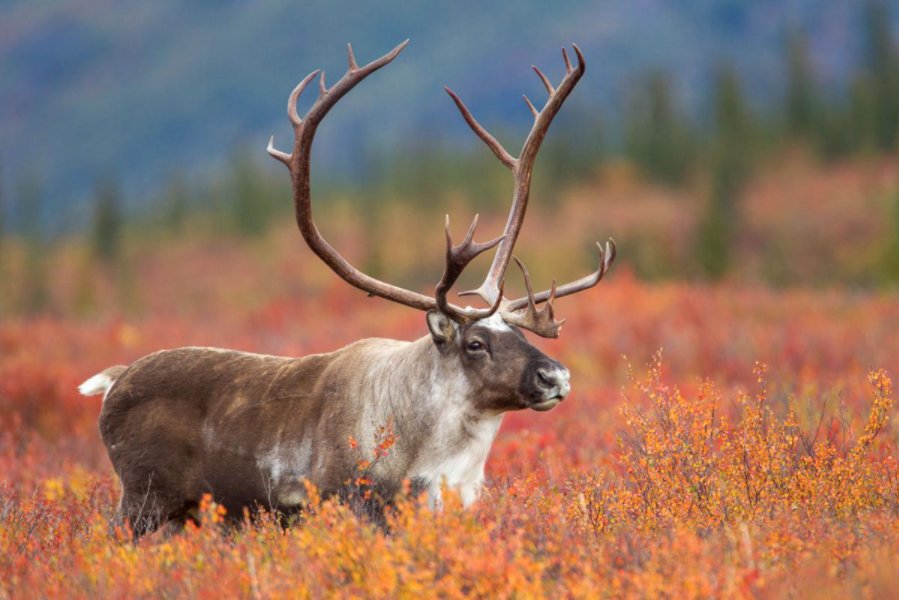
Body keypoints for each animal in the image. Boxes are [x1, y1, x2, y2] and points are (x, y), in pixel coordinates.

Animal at [78, 40, 615, 538]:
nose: (555, 376)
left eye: (520, 333)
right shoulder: (351, 504)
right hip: (142, 501)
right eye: (476, 343)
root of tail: (116, 379)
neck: (434, 458)